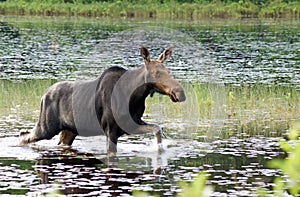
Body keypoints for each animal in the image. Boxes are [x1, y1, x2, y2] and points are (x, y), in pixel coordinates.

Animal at [19, 45, 185, 155]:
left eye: (168, 71)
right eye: (156, 73)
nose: (180, 93)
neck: (134, 97)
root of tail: (43, 95)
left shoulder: (132, 123)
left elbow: (157, 128)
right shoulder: (110, 130)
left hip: (69, 131)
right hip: (46, 127)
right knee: (23, 136)